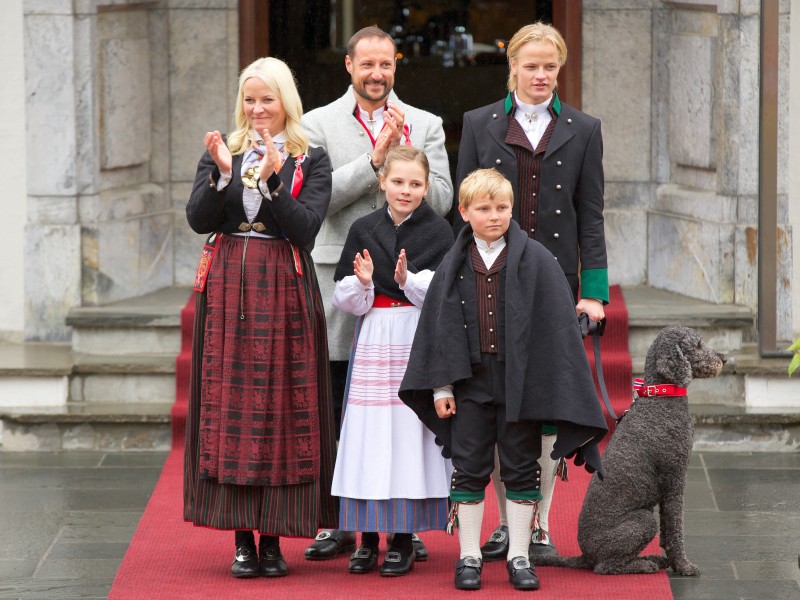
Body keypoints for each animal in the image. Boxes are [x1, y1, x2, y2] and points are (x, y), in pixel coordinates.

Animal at [532, 328, 724, 576]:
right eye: (698, 345)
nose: (724, 358)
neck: (660, 397)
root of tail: (585, 556)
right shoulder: (675, 478)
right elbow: (675, 527)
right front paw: (683, 565)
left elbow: (667, 530)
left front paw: (673, 560)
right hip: (642, 520)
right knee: (606, 567)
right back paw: (644, 564)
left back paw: (652, 557)